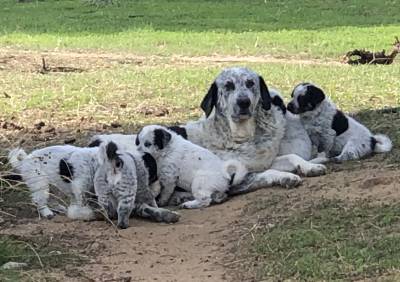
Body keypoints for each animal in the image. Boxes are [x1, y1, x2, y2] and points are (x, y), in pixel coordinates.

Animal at [7, 140, 180, 227]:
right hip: (40, 183)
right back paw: (47, 212)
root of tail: (25, 160)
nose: (159, 190)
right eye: (153, 175)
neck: (97, 162)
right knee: (40, 201)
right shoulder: (80, 186)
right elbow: (82, 200)